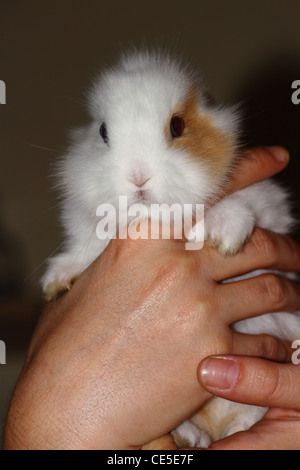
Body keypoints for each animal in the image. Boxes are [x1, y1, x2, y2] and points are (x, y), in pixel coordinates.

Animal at [41, 50, 300, 448]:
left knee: (247, 414)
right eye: (102, 132)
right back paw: (190, 436)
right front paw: (57, 281)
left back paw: (232, 430)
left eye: (177, 126)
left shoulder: (268, 204)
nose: (138, 176)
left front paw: (224, 238)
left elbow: (240, 204)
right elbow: (83, 249)